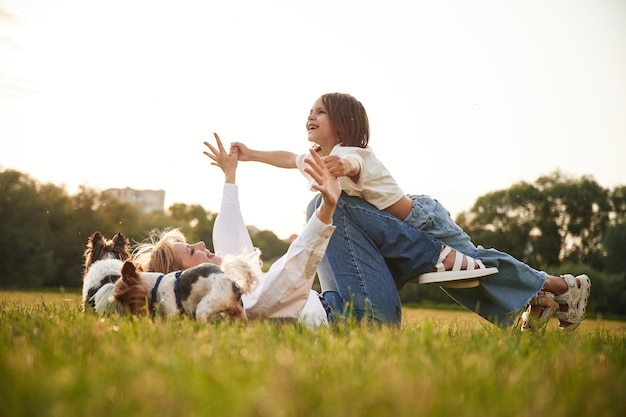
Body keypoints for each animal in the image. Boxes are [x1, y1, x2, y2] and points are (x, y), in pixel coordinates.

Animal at [112, 250, 258, 322]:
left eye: (120, 298)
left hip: (205, 306)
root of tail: (235, 286)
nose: (124, 317)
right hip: (238, 314)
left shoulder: (172, 311)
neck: (156, 285)